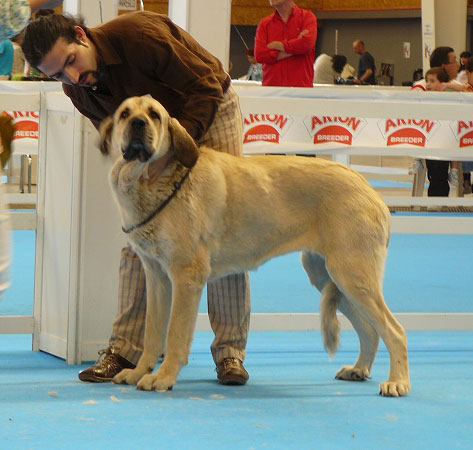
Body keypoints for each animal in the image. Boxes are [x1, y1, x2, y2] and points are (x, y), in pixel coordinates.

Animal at [99, 96, 410, 398]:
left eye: (154, 114)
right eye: (125, 114)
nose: (138, 124)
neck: (157, 181)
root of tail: (371, 189)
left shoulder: (186, 278)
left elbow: (175, 335)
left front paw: (163, 378)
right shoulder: (157, 278)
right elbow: (152, 334)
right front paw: (138, 372)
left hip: (352, 275)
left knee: (395, 331)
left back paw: (397, 382)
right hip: (327, 277)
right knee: (370, 330)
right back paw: (359, 369)